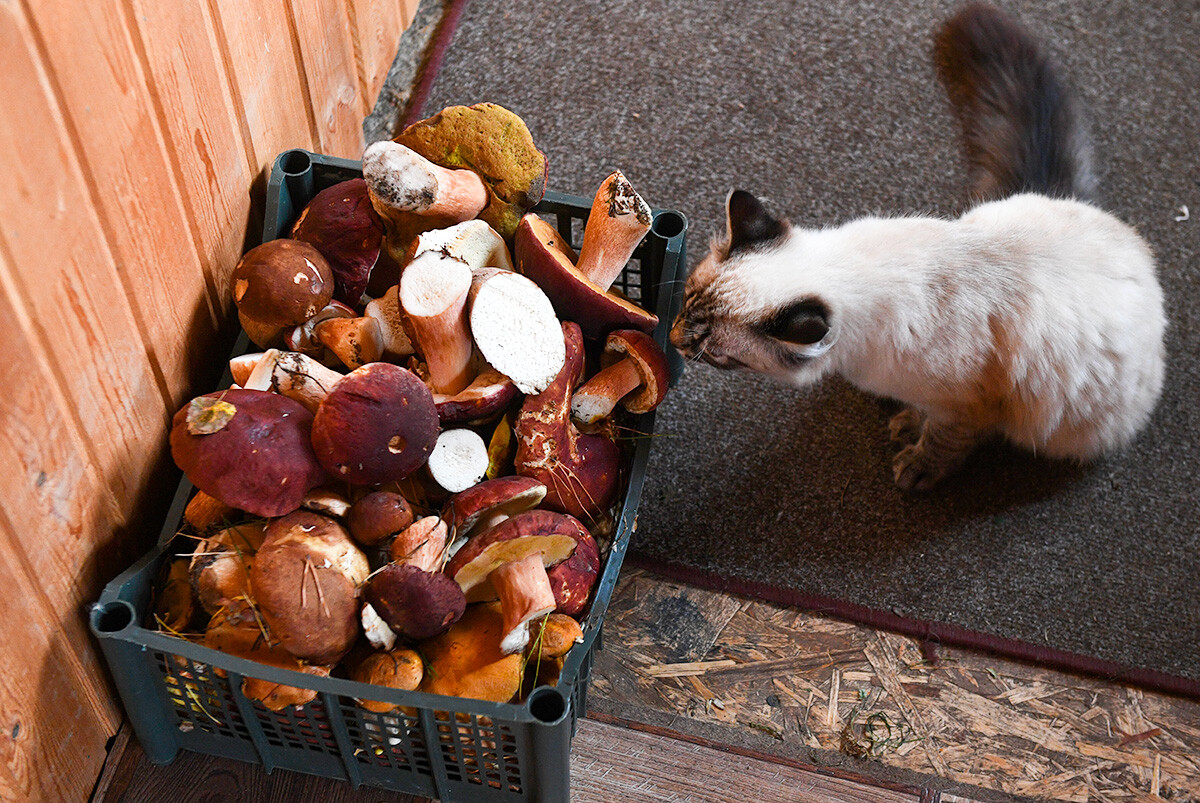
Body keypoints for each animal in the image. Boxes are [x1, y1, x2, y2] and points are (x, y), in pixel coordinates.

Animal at [667, 3, 1161, 489]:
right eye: (684, 304)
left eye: (708, 348)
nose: (672, 337)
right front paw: (906, 422)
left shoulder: (966, 406)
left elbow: (943, 440)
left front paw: (917, 467)